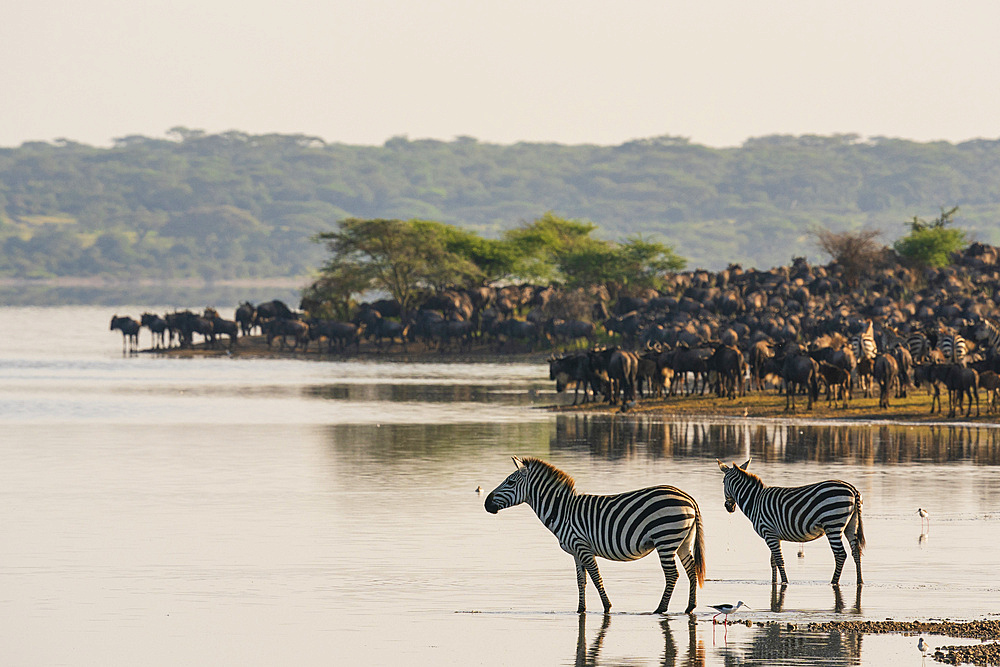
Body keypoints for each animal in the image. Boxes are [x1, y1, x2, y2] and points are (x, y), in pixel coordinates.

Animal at [482, 456, 704, 612]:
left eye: (510, 482)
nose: (486, 504)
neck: (562, 511)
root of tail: (689, 497)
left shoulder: (583, 547)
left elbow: (597, 578)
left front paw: (607, 607)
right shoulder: (575, 552)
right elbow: (581, 581)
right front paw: (581, 609)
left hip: (666, 539)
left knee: (672, 574)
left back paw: (660, 609)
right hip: (683, 541)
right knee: (691, 570)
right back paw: (690, 607)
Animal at [716, 460, 864, 584]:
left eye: (723, 482)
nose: (729, 507)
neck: (755, 500)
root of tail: (853, 489)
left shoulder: (768, 532)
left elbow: (779, 560)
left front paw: (785, 582)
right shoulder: (773, 535)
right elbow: (773, 562)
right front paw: (774, 583)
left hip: (832, 524)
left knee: (840, 554)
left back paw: (833, 582)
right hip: (851, 524)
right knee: (856, 552)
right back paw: (860, 581)